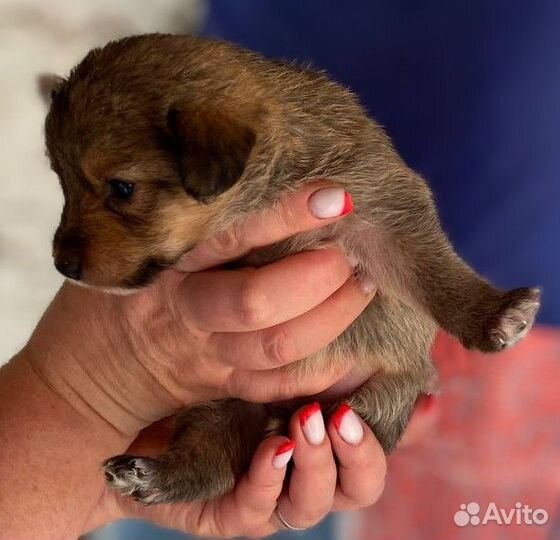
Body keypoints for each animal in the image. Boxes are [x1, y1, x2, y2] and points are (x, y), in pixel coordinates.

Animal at [41, 34, 540, 506]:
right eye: (63, 183)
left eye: (122, 188)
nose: (62, 264)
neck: (265, 191)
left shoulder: (381, 211)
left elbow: (432, 272)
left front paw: (495, 316)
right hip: (220, 404)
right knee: (208, 461)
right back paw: (150, 474)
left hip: (381, 397)